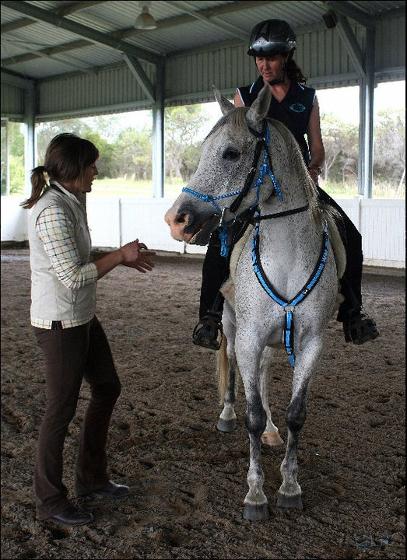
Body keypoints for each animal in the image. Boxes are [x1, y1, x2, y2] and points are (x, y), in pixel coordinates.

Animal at [164, 86, 346, 520]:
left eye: (231, 153)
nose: (176, 220)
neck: (287, 256)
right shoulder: (247, 337)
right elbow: (252, 414)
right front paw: (255, 494)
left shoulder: (311, 343)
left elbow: (296, 414)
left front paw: (290, 487)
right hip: (233, 327)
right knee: (234, 369)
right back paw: (228, 415)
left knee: (262, 374)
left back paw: (272, 433)